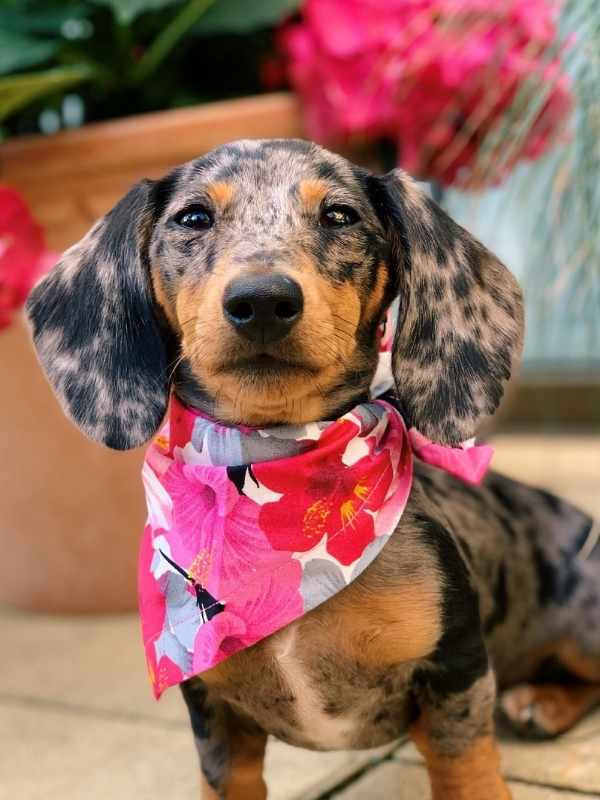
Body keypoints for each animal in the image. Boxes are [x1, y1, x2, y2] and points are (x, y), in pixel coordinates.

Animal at [27, 141, 600, 796]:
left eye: (340, 216)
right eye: (193, 217)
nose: (261, 301)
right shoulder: (216, 720)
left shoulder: (455, 668)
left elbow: (467, 770)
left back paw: (542, 702)